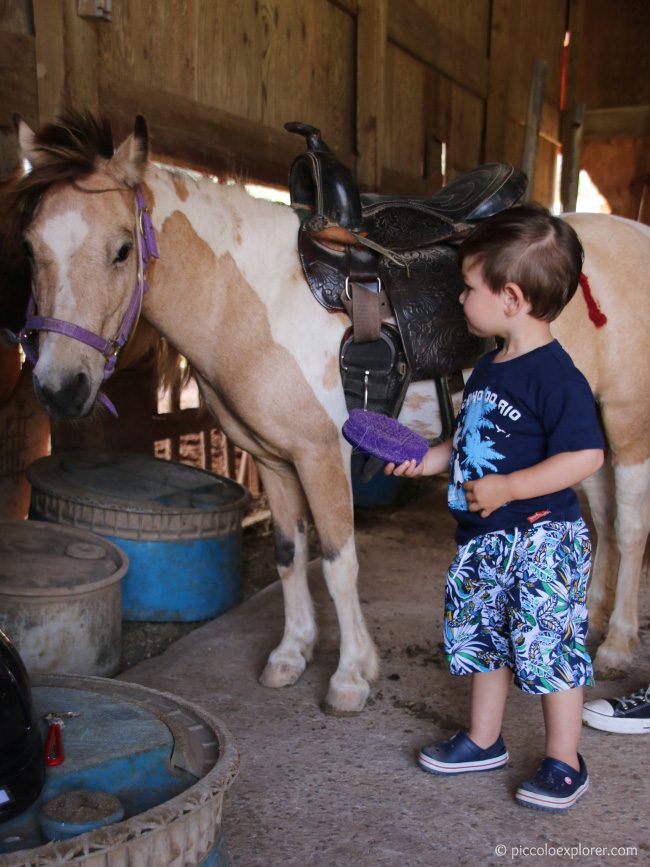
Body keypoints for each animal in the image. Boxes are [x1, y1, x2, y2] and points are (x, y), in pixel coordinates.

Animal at [5, 113, 648, 712]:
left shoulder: (322, 455)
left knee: (630, 525)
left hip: (627, 421)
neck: (255, 297)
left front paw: (351, 675)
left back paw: (617, 646)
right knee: (601, 519)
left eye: (121, 250)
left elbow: (339, 564)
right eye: (30, 248)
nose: (61, 389)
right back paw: (588, 622)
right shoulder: (273, 460)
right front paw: (292, 653)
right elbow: (291, 558)